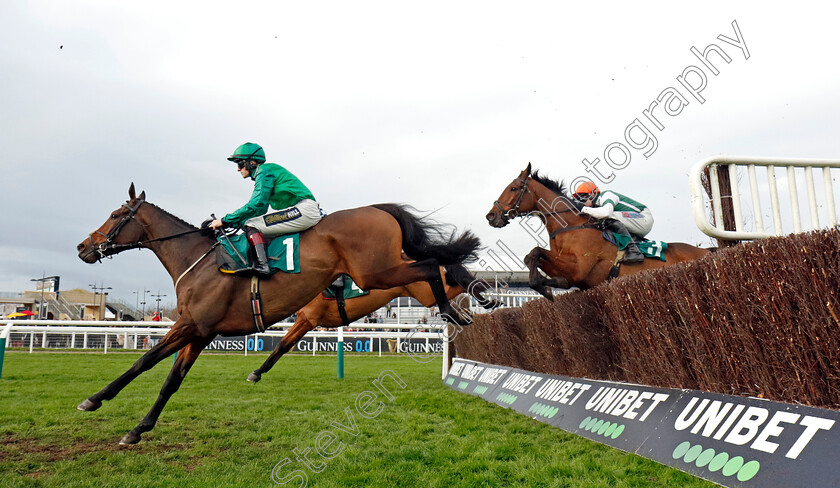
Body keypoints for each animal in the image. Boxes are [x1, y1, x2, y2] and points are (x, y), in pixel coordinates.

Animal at [243, 262, 492, 384]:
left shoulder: (307, 319)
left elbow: (282, 345)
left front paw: (257, 372)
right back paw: (470, 312)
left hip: (426, 294)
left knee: (463, 283)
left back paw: (489, 298)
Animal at [486, 163, 708, 298]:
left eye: (514, 188)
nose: (491, 216)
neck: (570, 226)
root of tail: (705, 251)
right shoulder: (569, 269)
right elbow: (533, 256)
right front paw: (545, 284)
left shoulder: (578, 267)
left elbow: (536, 252)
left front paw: (544, 287)